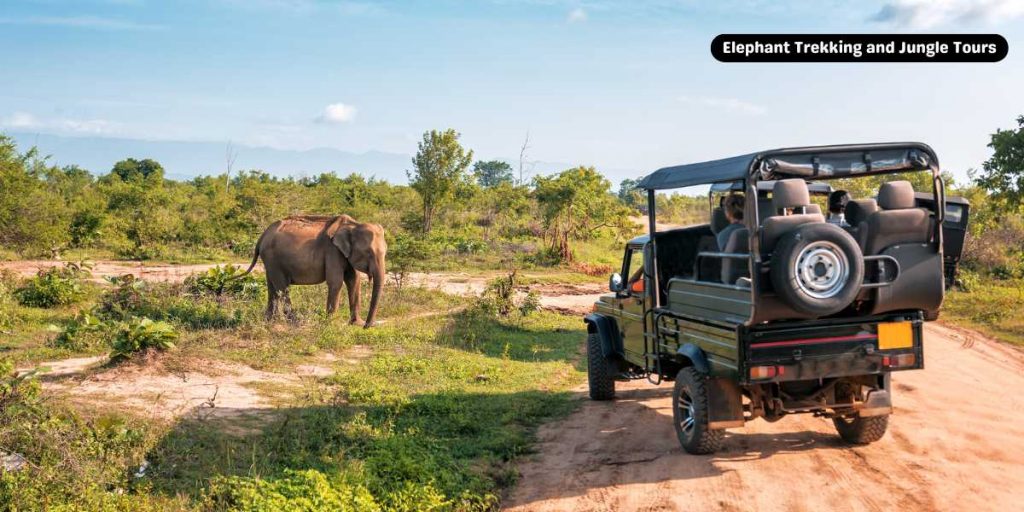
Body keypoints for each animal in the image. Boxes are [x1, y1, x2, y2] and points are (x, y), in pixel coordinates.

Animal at [239, 215, 387, 328]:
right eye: (368, 253)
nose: (367, 326)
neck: (354, 225)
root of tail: (263, 236)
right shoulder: (332, 250)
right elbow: (336, 282)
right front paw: (331, 324)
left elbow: (354, 281)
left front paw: (355, 323)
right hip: (273, 259)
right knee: (282, 287)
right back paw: (295, 322)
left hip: (270, 261)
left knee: (272, 287)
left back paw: (270, 321)